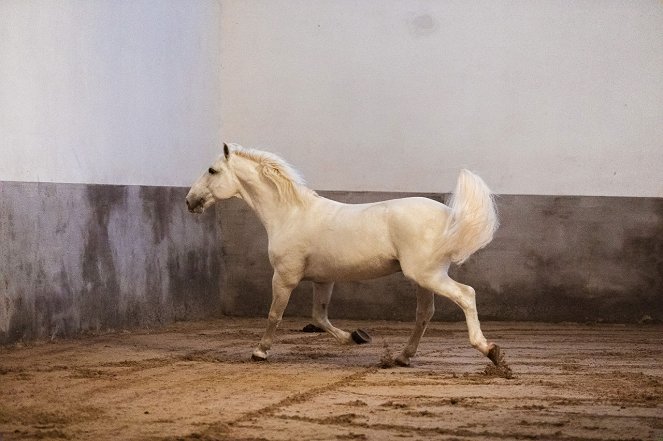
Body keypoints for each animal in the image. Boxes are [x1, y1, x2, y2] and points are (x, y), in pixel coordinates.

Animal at [187, 143, 508, 370]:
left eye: (212, 170)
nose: (190, 201)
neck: (290, 215)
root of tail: (449, 215)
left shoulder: (285, 277)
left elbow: (274, 314)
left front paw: (259, 352)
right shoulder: (323, 280)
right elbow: (319, 316)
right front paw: (355, 337)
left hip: (428, 275)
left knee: (466, 295)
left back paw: (490, 350)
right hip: (424, 279)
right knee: (424, 315)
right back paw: (403, 357)